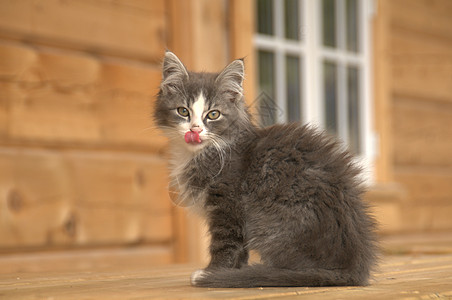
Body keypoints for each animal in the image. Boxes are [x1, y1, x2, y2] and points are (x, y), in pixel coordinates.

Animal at [154, 51, 378, 288]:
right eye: (183, 111)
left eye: (213, 114)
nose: (195, 129)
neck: (202, 153)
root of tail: (352, 266)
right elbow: (239, 249)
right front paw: (231, 272)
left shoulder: (229, 205)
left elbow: (226, 244)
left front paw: (213, 273)